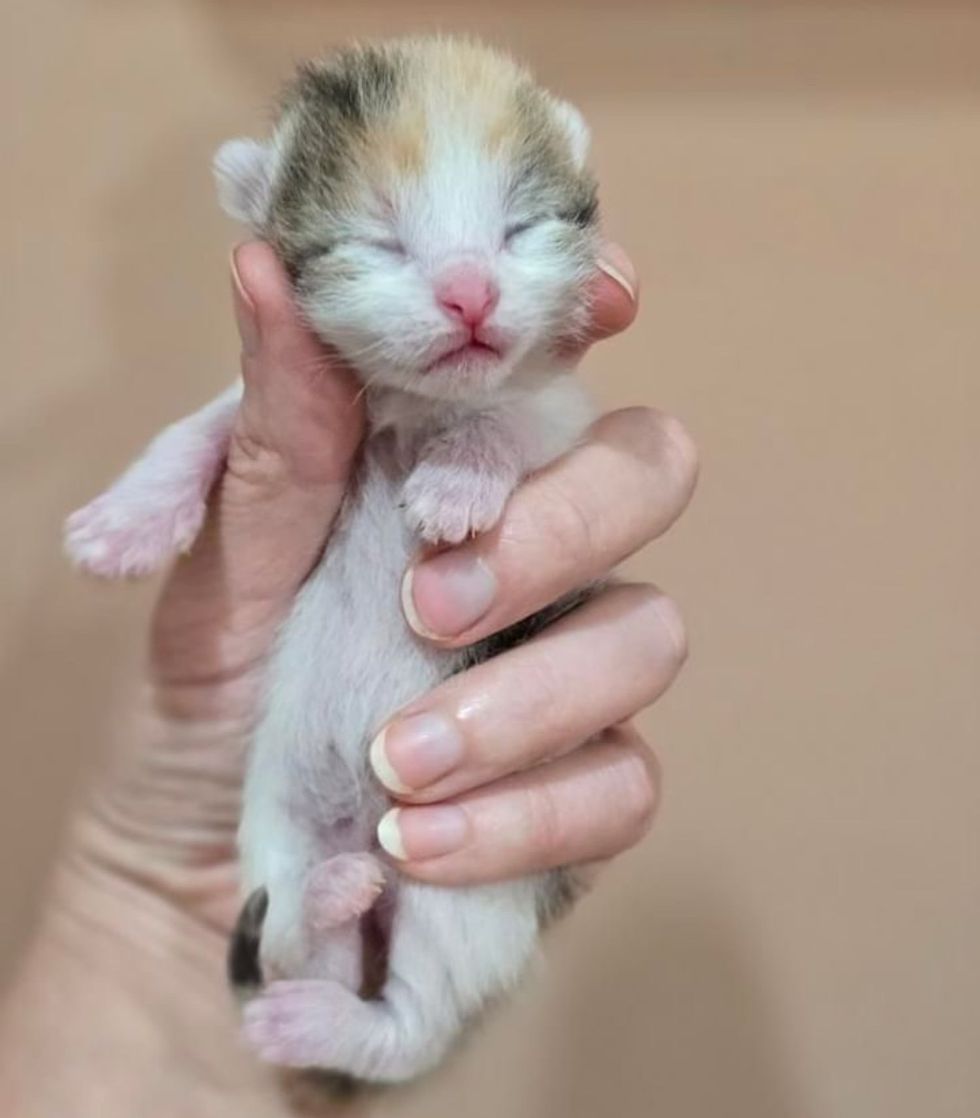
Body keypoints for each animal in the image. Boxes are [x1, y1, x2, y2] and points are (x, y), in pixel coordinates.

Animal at [65, 37, 598, 1082]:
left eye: (519, 229)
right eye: (381, 241)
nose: (471, 291)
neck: (411, 411)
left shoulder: (560, 416)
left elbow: (507, 419)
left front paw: (456, 484)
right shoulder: (280, 411)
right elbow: (203, 425)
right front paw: (124, 522)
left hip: (465, 887)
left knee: (413, 1024)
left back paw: (328, 1020)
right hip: (278, 831)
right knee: (290, 937)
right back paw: (327, 912)